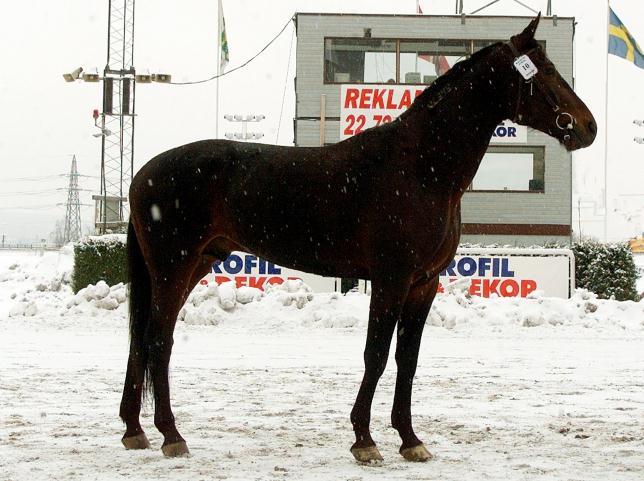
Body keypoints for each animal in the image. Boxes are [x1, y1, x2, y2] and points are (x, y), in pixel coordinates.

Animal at [119, 15, 592, 462]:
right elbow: (376, 354)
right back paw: (171, 435)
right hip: (173, 267)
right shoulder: (390, 279)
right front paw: (365, 440)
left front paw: (410, 439)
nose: (588, 127)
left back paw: (134, 430)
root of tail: (142, 174)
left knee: (143, 339)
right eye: (546, 70)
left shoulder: (423, 284)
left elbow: (407, 360)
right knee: (158, 339)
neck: (420, 168)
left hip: (193, 265)